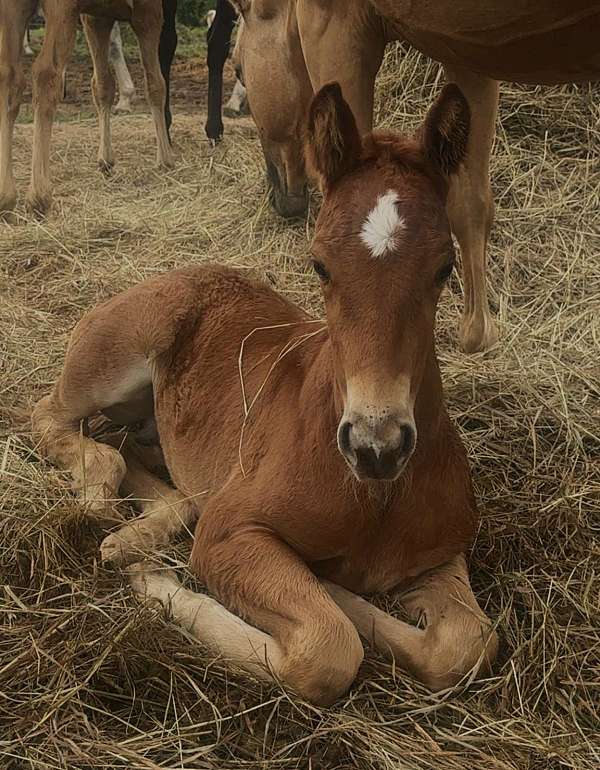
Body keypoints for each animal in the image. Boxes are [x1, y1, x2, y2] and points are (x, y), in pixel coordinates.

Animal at [0, 0, 173, 216]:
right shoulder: (148, 12)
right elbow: (156, 84)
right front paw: (165, 159)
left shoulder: (96, 18)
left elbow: (103, 86)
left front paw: (106, 159)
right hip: (60, 9)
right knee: (45, 73)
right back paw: (39, 197)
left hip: (14, 8)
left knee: (9, 77)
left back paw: (6, 197)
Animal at [32, 82, 498, 705]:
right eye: (319, 264)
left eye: (445, 267)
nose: (376, 446)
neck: (374, 497)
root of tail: (178, 272)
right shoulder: (229, 531)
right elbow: (327, 647)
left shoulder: (440, 551)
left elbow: (466, 645)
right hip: (110, 361)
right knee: (49, 416)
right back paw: (103, 506)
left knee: (145, 461)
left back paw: (134, 533)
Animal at [222, 0, 600, 353]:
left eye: (238, 70)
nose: (282, 201)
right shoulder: (467, 57)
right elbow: (470, 203)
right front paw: (476, 333)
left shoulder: (332, 28)